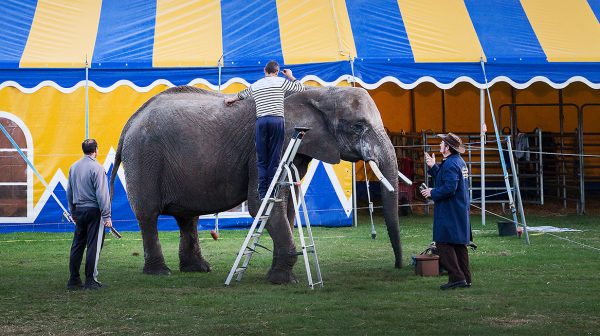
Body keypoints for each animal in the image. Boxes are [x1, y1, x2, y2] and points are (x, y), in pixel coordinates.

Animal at [111, 86, 404, 284]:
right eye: (358, 126)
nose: (399, 266)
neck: (317, 93)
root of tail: (129, 122)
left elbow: (285, 207)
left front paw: (278, 276)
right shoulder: (267, 146)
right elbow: (261, 204)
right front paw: (283, 280)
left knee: (187, 217)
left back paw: (199, 269)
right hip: (144, 157)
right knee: (148, 215)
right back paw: (160, 272)